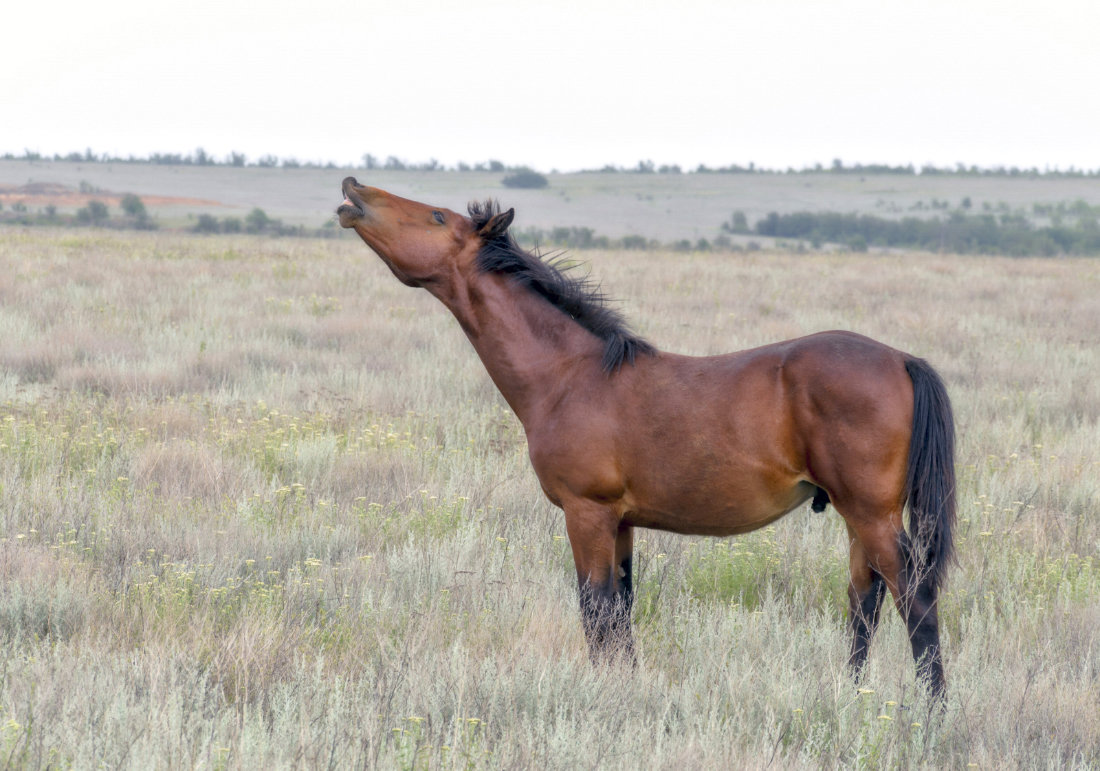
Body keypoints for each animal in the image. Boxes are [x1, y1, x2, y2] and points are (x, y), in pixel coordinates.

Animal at [336, 177, 954, 695]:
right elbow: (621, 610)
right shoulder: (623, 524)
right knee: (865, 601)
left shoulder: (586, 514)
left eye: (438, 216)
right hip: (857, 518)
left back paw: (931, 713)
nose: (352, 189)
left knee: (915, 599)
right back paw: (851, 696)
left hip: (871, 516)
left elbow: (595, 608)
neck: (569, 376)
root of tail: (901, 359)